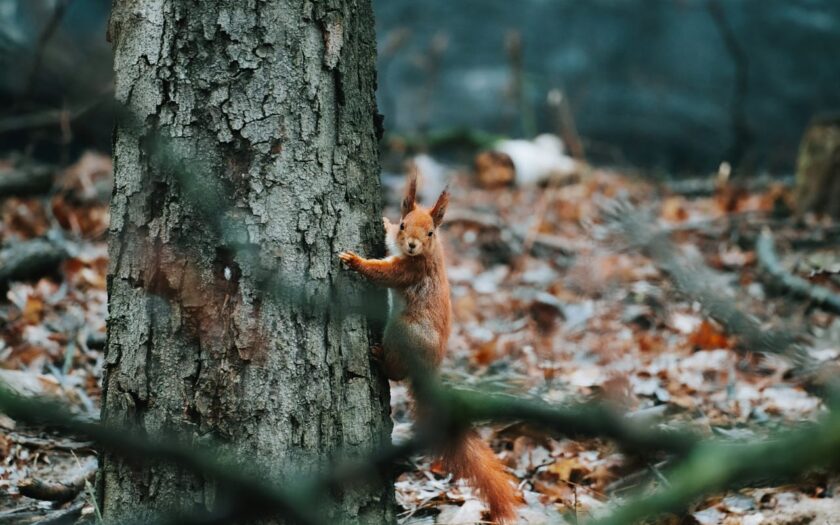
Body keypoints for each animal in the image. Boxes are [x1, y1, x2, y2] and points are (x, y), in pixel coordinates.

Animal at [338, 174, 520, 520]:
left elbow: (383, 272)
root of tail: (429, 369)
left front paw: (355, 261)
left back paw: (380, 358)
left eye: (431, 233)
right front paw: (384, 222)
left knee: (397, 371)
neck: (425, 254)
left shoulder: (410, 271)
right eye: (403, 225)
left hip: (403, 331)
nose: (411, 244)